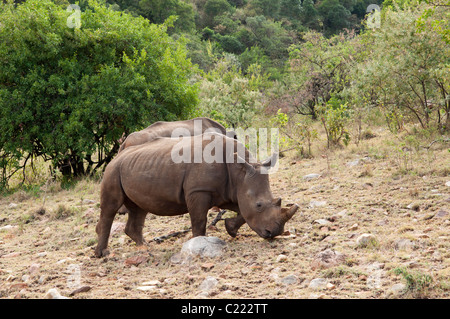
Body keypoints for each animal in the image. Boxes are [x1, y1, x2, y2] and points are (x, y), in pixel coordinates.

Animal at [94, 132, 298, 258]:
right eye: (259, 205)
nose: (274, 233)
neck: (238, 172)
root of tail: (118, 155)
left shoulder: (230, 190)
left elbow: (242, 211)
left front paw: (230, 228)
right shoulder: (199, 191)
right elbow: (199, 220)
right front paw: (199, 244)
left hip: (132, 167)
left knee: (139, 208)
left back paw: (145, 246)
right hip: (112, 171)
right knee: (111, 208)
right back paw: (103, 254)